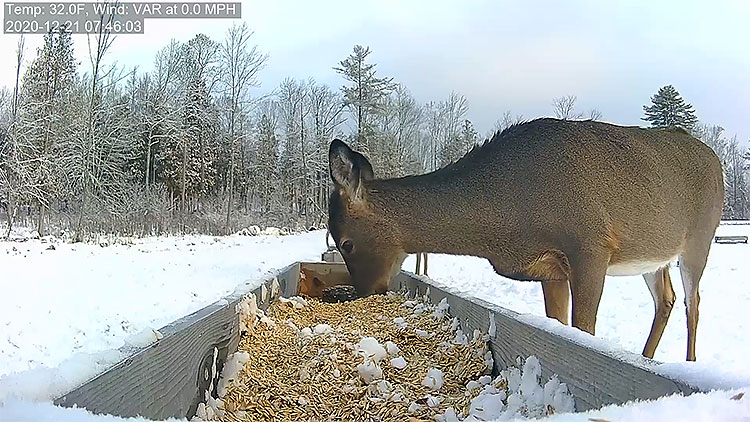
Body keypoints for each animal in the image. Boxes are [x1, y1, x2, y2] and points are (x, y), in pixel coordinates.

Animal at [327, 118, 724, 361]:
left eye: (345, 242)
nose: (366, 292)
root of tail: (714, 156)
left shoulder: (591, 245)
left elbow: (585, 329)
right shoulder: (550, 268)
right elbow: (560, 325)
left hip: (700, 238)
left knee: (693, 302)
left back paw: (688, 363)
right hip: (654, 256)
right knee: (666, 299)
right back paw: (645, 357)